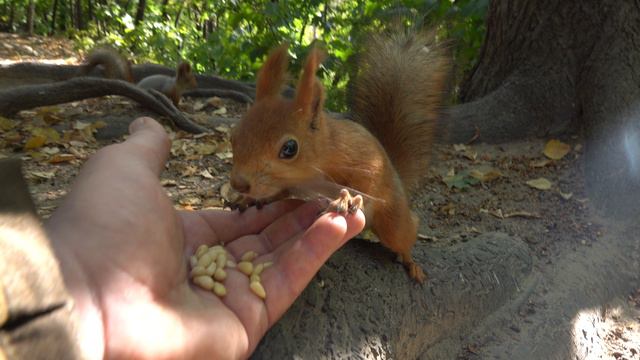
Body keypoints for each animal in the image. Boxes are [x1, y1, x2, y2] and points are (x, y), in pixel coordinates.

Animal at [230, 31, 450, 282]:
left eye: (289, 148)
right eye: (233, 136)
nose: (238, 184)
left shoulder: (363, 160)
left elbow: (365, 184)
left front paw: (348, 199)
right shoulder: (290, 184)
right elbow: (280, 192)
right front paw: (248, 199)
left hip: (393, 218)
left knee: (405, 233)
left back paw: (411, 262)